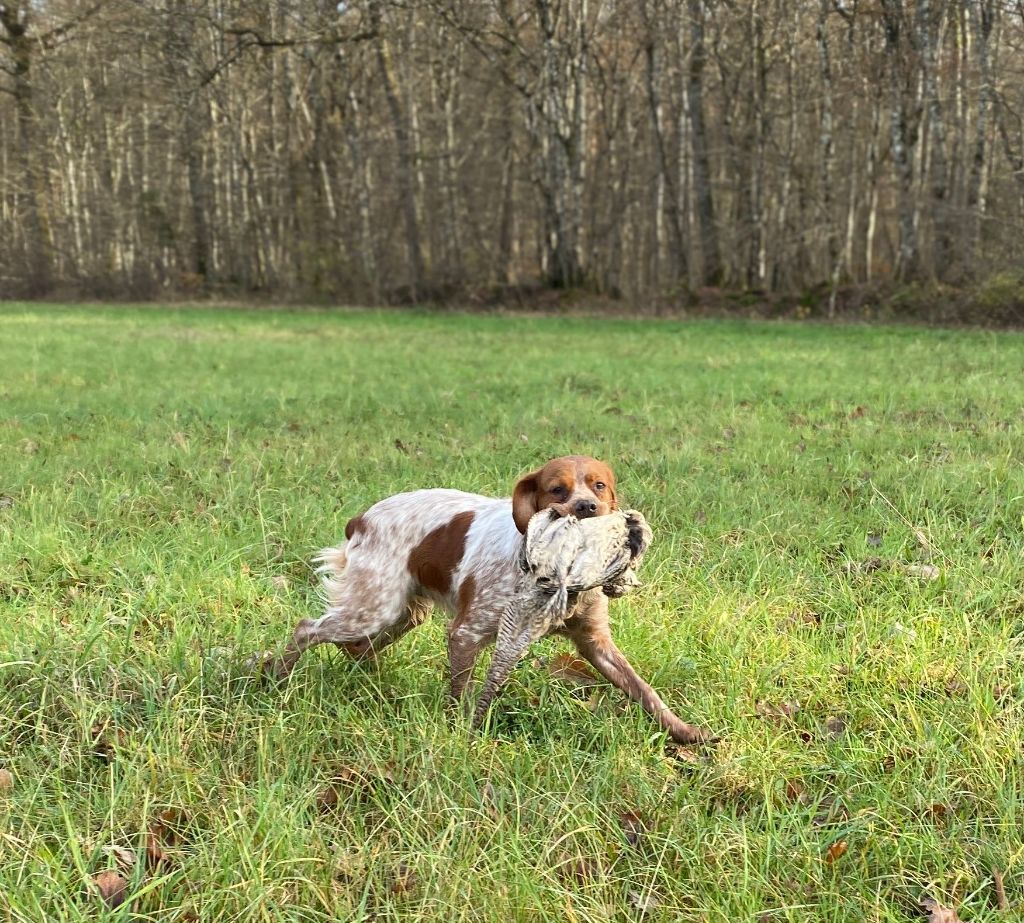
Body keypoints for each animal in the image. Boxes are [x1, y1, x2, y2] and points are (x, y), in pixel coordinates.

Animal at [268, 456, 708, 745]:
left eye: (599, 485)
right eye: (557, 489)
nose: (588, 507)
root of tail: (361, 518)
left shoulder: (594, 641)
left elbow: (643, 689)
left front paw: (685, 732)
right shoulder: (466, 632)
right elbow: (460, 692)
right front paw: (460, 732)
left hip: (403, 613)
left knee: (355, 647)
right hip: (375, 607)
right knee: (309, 629)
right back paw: (273, 674)